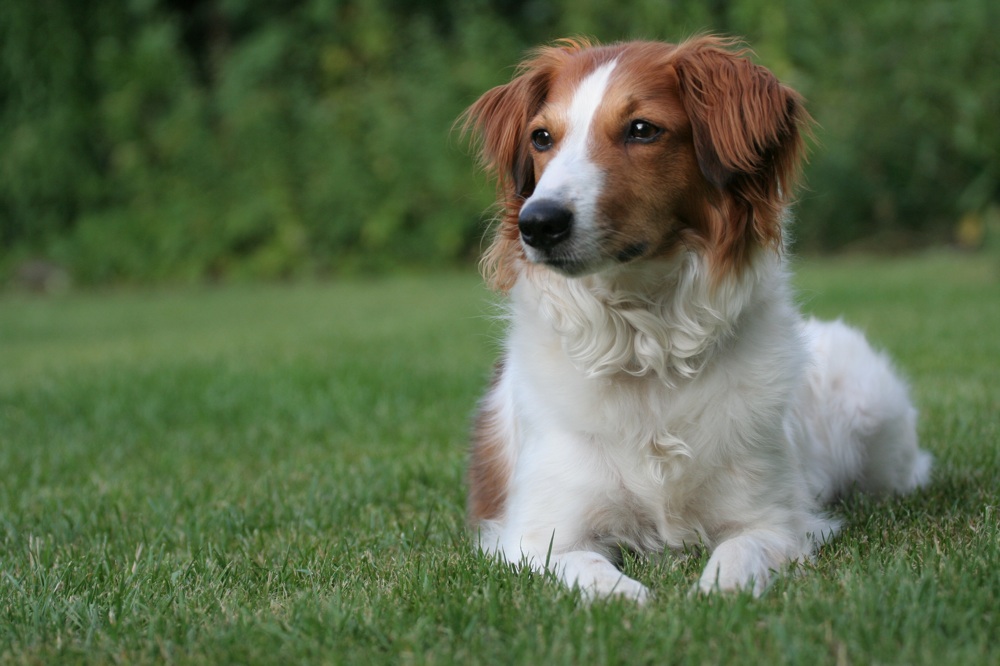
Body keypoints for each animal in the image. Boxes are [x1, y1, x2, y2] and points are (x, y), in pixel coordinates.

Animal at [458, 33, 932, 600]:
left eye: (642, 129)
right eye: (541, 137)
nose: (538, 223)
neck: (647, 346)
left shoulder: (775, 521)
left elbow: (737, 557)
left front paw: (713, 597)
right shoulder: (540, 538)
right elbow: (596, 574)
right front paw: (635, 600)